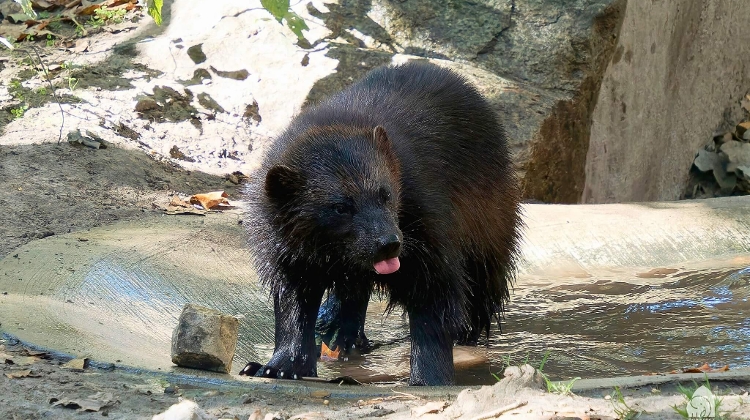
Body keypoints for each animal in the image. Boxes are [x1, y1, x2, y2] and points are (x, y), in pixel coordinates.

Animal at [240, 61, 522, 386]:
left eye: (385, 193)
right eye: (340, 207)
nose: (388, 244)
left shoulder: (423, 220)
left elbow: (434, 298)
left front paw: (429, 378)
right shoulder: (286, 245)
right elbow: (293, 304)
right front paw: (278, 366)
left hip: (490, 221)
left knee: (481, 287)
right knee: (353, 289)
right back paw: (341, 332)